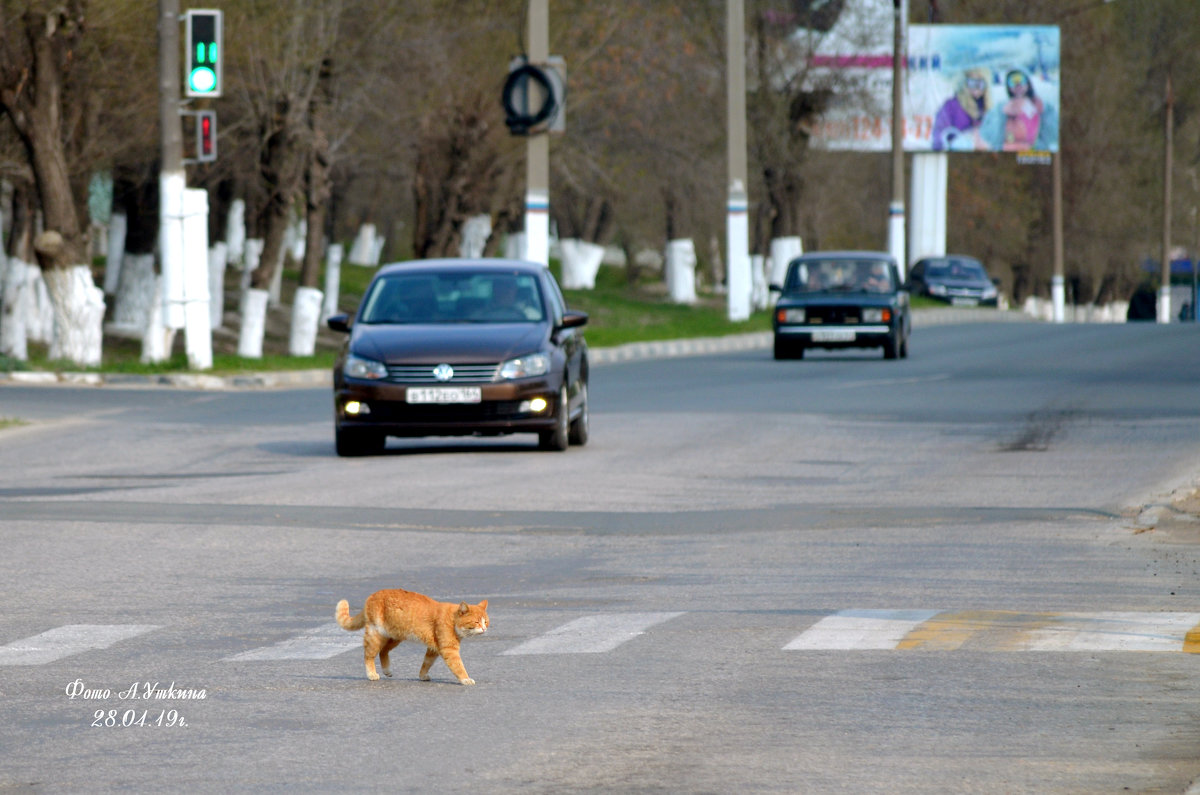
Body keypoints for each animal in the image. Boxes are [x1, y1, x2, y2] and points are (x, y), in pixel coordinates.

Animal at [336, 588, 489, 686]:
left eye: (486, 621)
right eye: (476, 622)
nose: (484, 628)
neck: (452, 619)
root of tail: (372, 596)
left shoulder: (434, 649)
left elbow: (426, 663)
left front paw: (422, 676)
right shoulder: (449, 650)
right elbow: (458, 667)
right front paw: (466, 679)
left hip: (395, 637)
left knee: (383, 651)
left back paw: (387, 671)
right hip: (377, 635)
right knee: (369, 655)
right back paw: (372, 674)